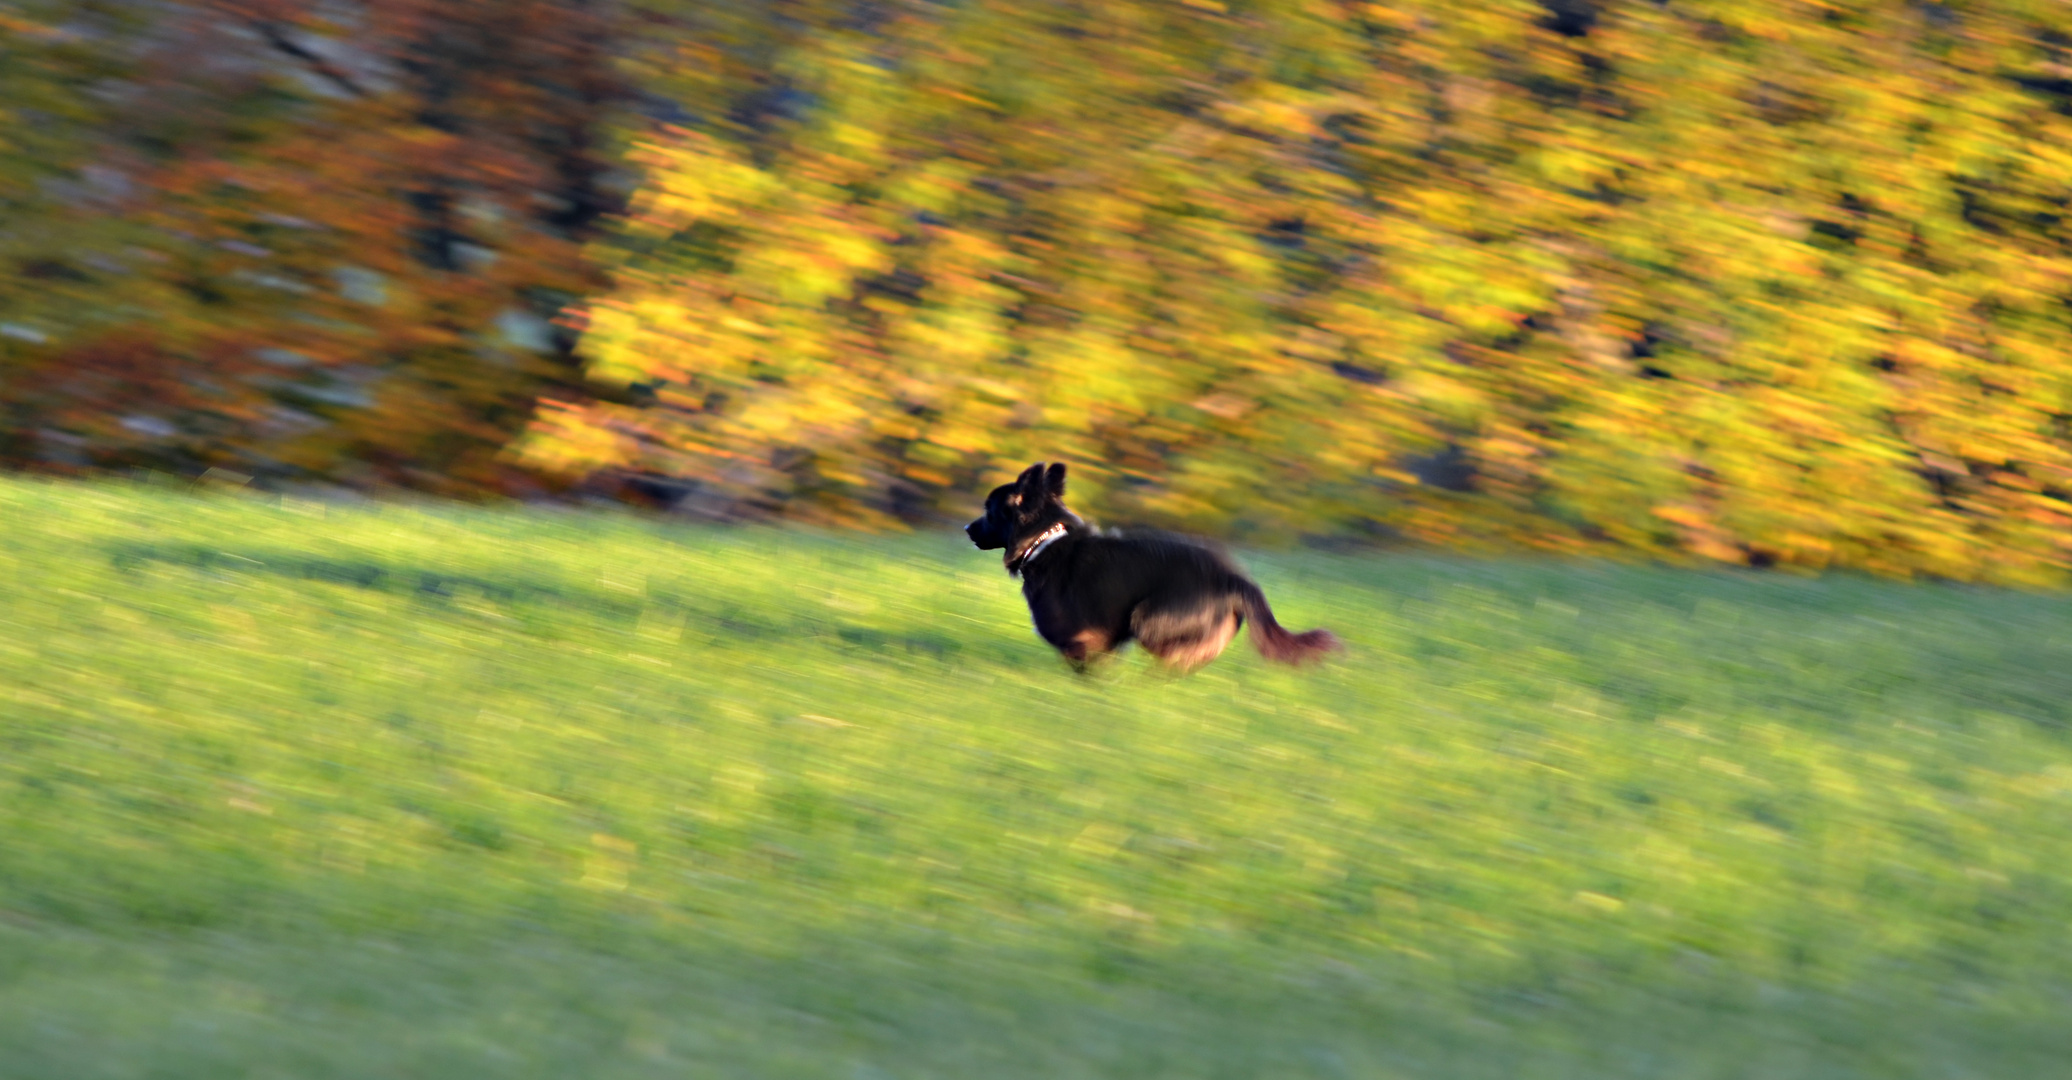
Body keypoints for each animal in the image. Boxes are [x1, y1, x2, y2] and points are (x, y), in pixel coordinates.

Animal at [961, 458, 1334, 667]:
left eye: (988, 511)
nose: (967, 528)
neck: (1044, 540)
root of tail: (1234, 577)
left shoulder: (1081, 640)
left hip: (1148, 619)